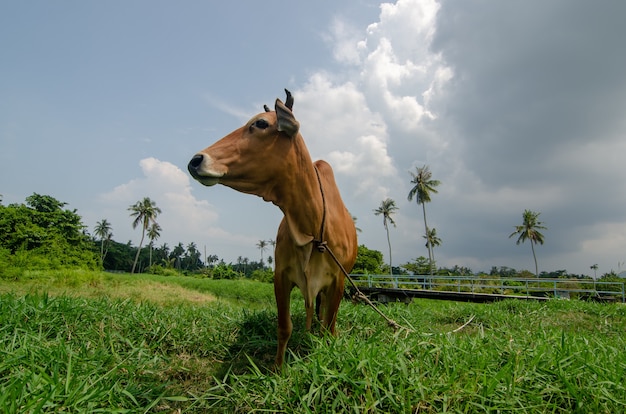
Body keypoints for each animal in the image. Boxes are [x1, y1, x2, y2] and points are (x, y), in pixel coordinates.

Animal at [186, 89, 356, 368]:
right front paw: (278, 369)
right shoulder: (281, 275)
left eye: (261, 123)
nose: (195, 160)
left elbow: (329, 327)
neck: (310, 228)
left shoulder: (338, 281)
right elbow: (284, 327)